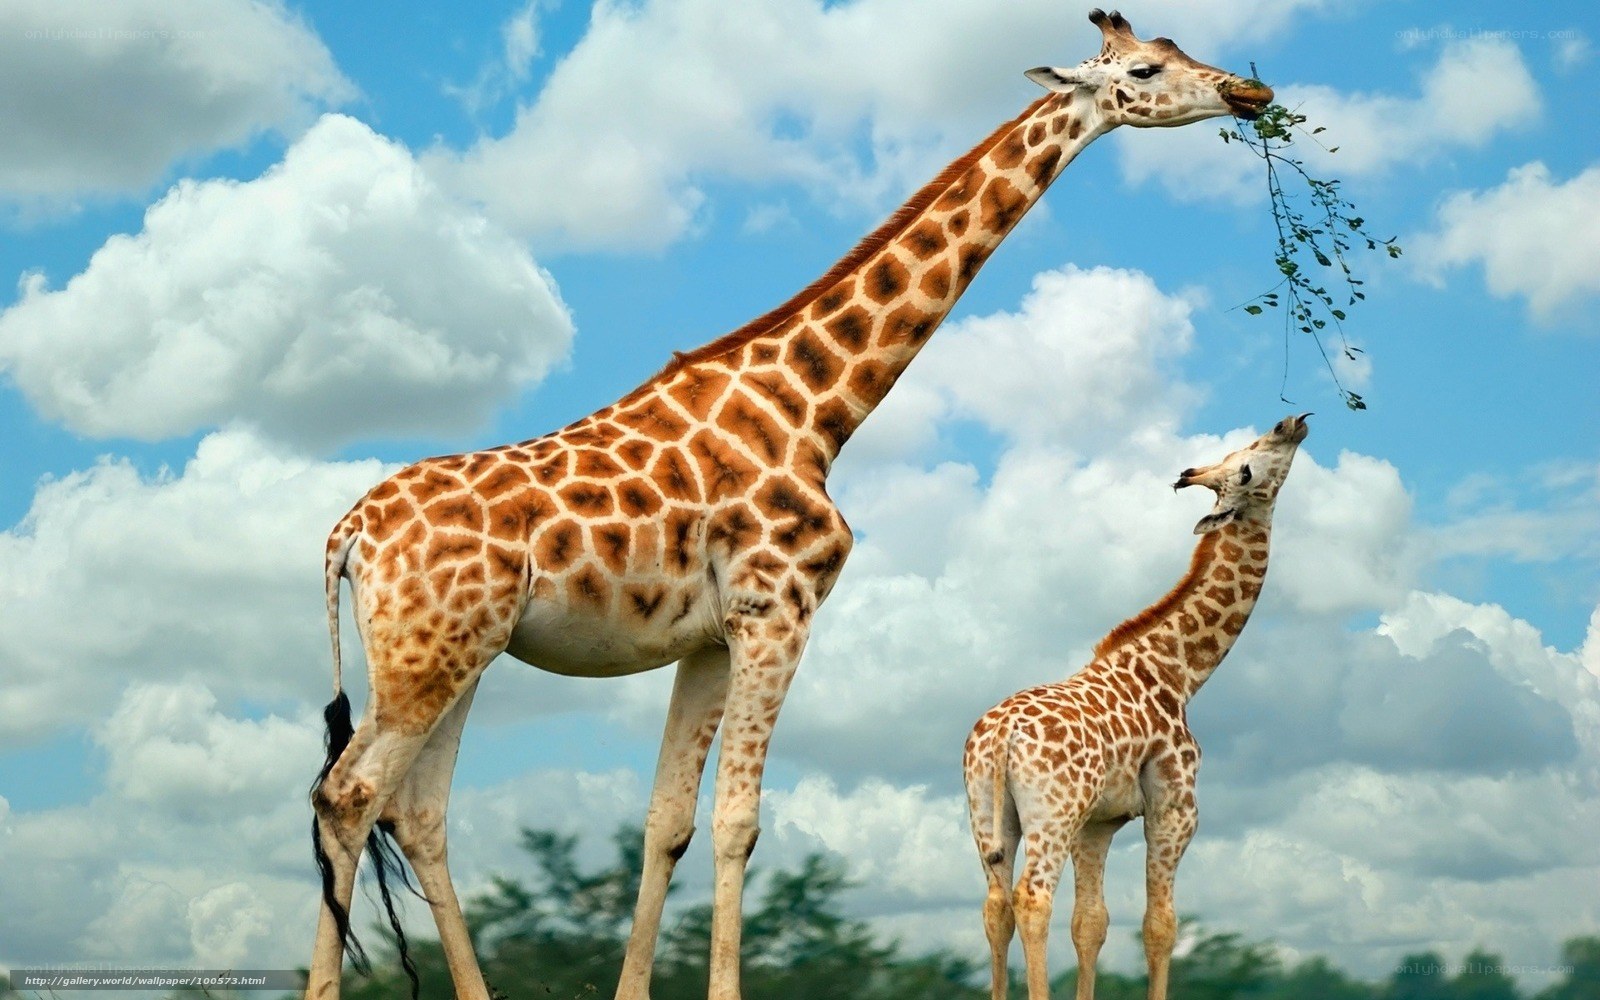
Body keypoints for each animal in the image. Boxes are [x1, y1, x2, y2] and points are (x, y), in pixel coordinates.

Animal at [305, 10, 1274, 1000]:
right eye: (1145, 69)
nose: (1251, 92)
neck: (817, 410)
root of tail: (349, 535)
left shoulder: (709, 638)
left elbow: (668, 822)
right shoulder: (779, 611)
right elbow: (739, 820)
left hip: (457, 653)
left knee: (416, 813)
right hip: (430, 655)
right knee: (347, 795)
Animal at [961, 414, 1311, 1000]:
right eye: (1246, 465)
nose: (1291, 424)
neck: (1181, 672)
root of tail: (1002, 736)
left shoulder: (1098, 824)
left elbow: (1091, 923)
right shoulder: (1175, 809)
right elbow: (1161, 925)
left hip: (987, 814)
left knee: (996, 907)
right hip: (1050, 813)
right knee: (1033, 899)